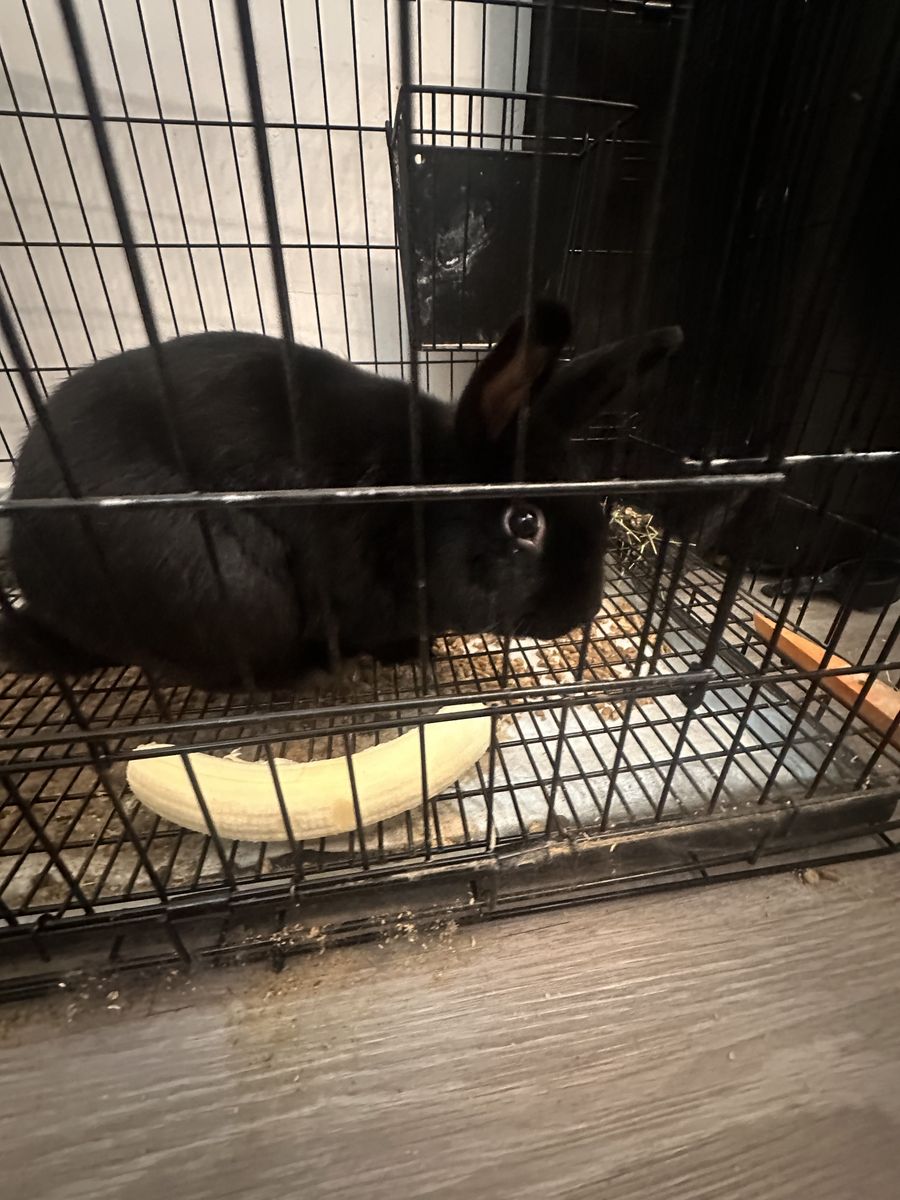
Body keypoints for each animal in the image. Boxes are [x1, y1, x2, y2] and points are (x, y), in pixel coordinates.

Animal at [2, 300, 682, 689]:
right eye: (523, 522)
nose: (579, 613)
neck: (418, 500)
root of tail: (41, 591)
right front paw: (405, 654)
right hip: (225, 583)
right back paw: (318, 676)